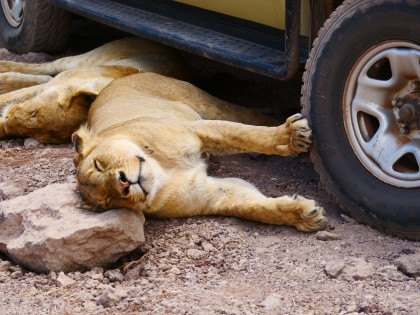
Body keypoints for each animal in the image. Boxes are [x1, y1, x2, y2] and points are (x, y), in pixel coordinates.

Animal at [72, 72, 326, 232]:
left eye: (99, 165)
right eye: (108, 200)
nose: (124, 184)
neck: (162, 168)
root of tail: (117, 80)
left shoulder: (198, 129)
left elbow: (247, 135)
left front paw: (291, 137)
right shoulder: (211, 196)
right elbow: (253, 207)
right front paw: (303, 215)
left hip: (205, 103)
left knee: (245, 114)